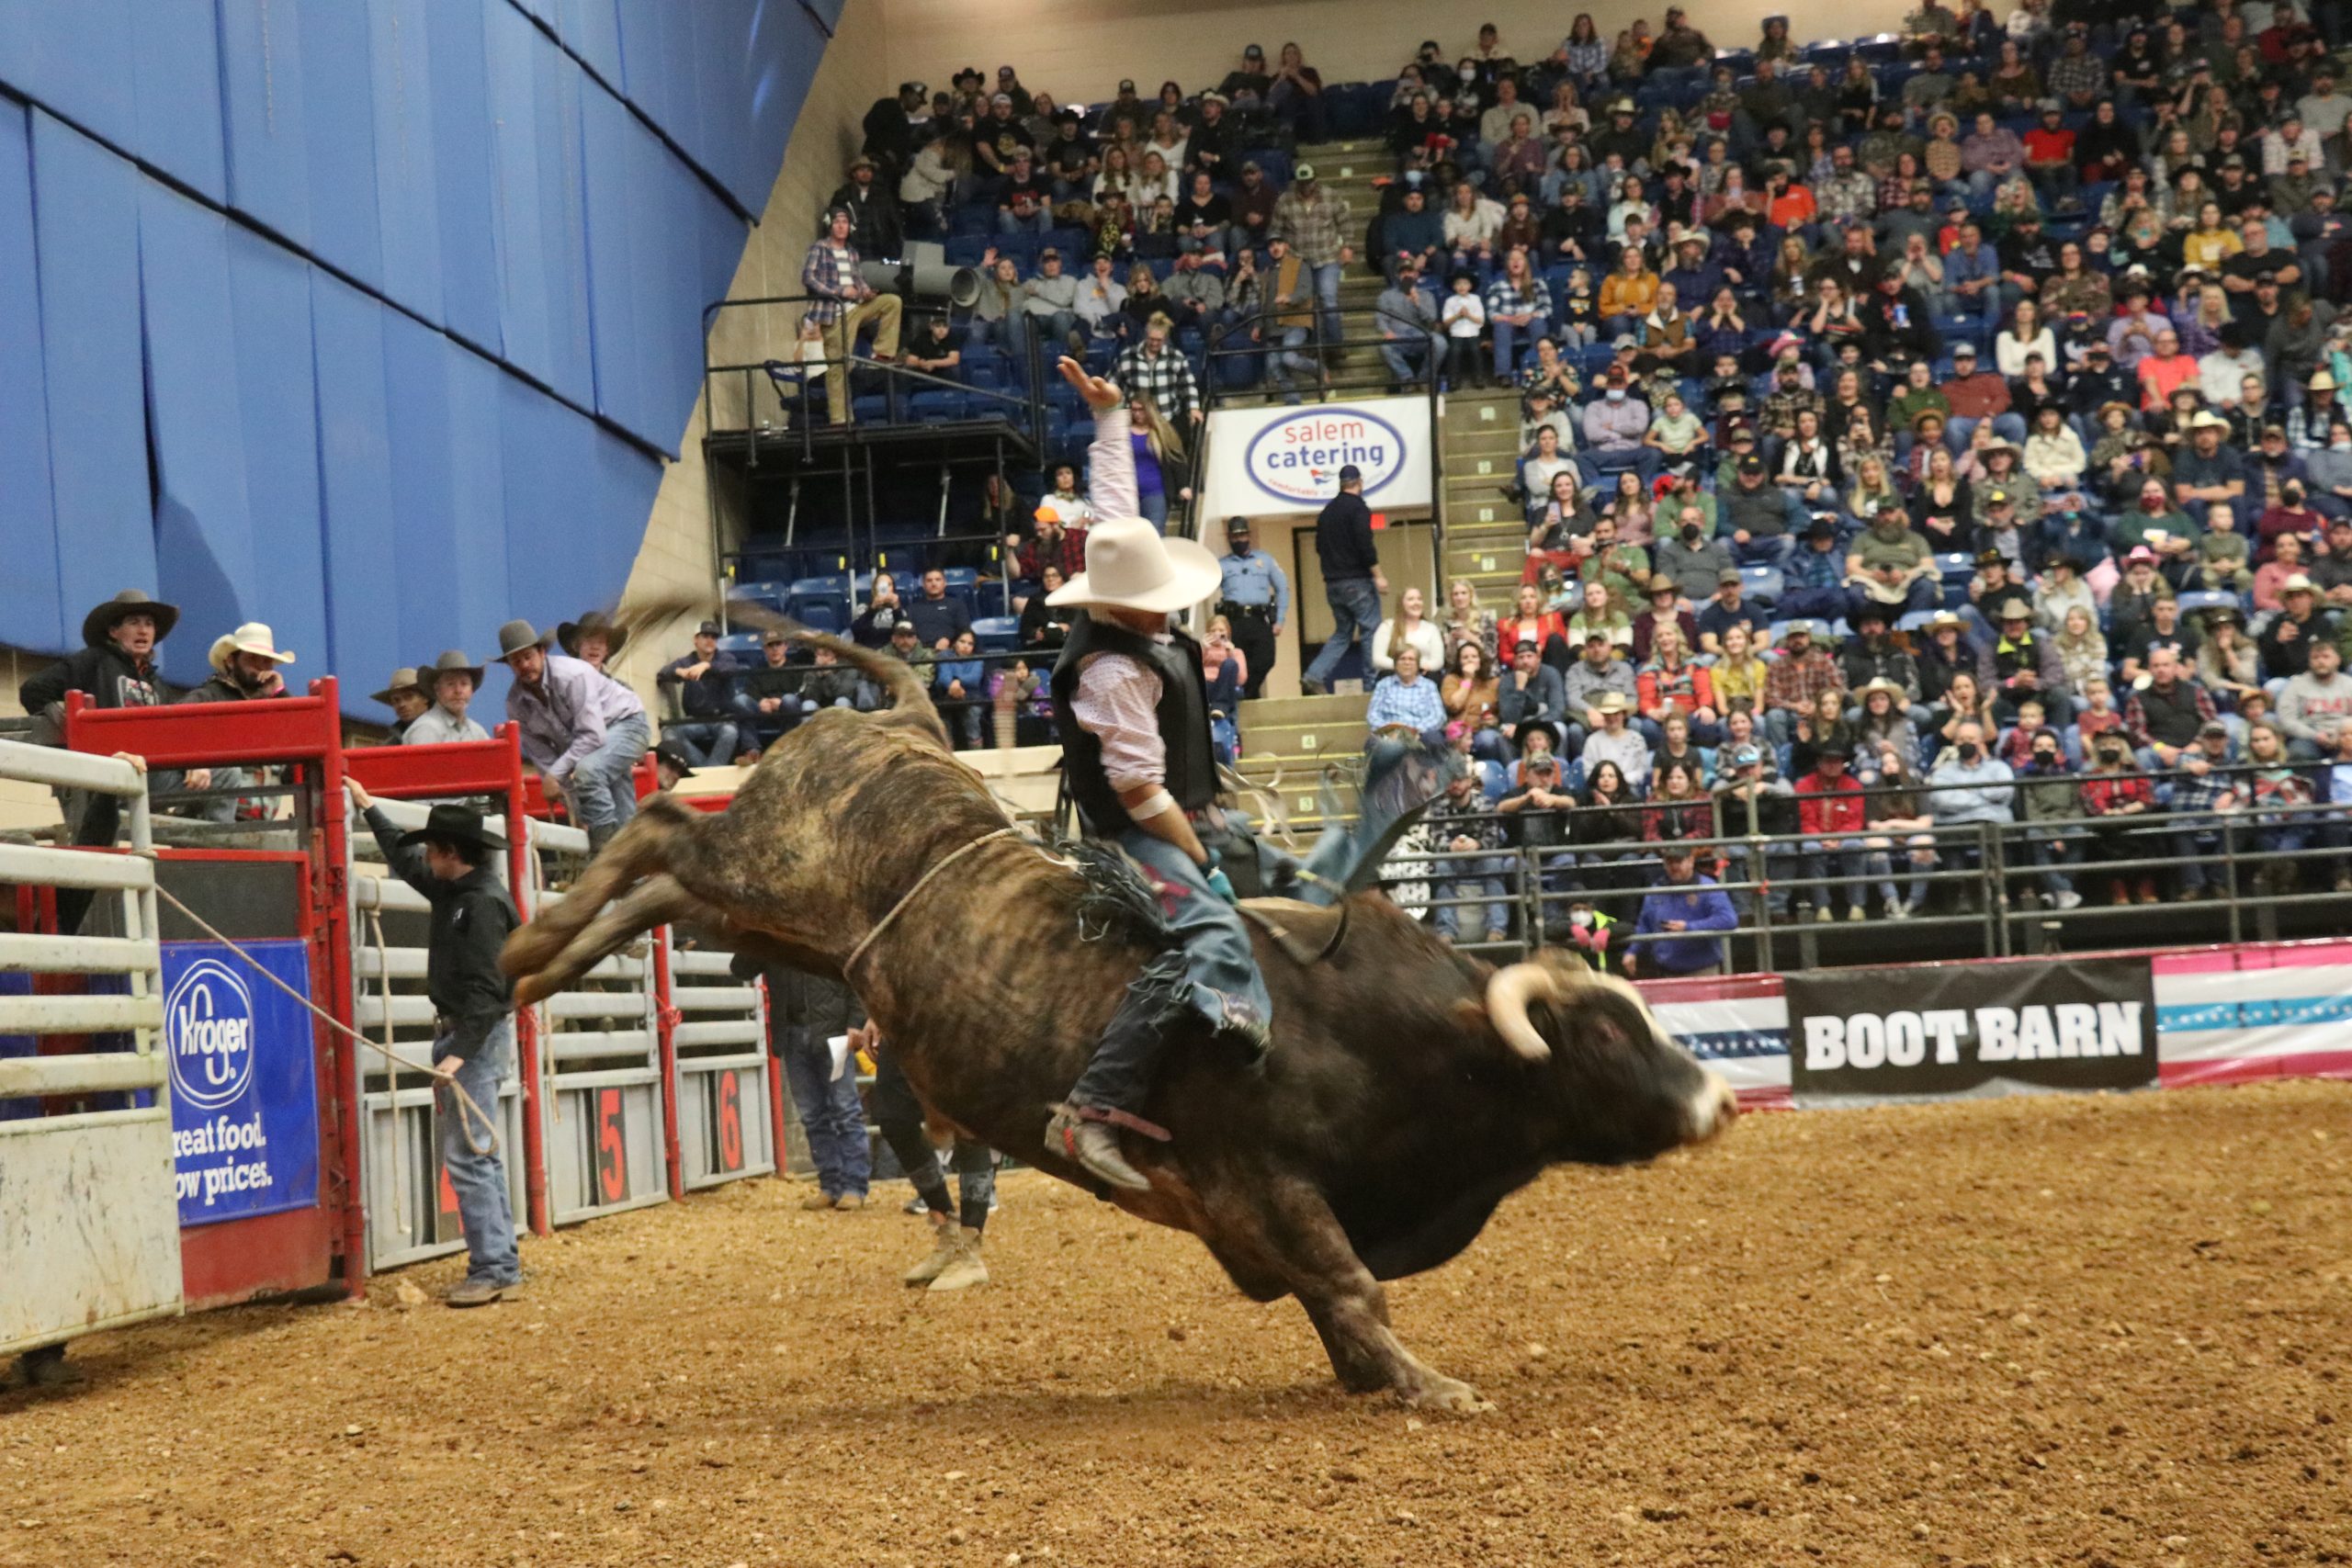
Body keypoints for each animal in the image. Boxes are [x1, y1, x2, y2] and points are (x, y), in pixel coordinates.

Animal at [505, 629, 1740, 1419]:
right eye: (1606, 1040)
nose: (1721, 1097)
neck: (1418, 1042)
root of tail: (897, 723)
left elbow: (1333, 1300)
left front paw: (1375, 1375)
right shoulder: (1265, 1176)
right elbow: (1349, 1282)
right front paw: (1430, 1386)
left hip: (779, 922)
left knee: (665, 879)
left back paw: (534, 963)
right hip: (775, 870)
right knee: (665, 826)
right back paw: (524, 952)